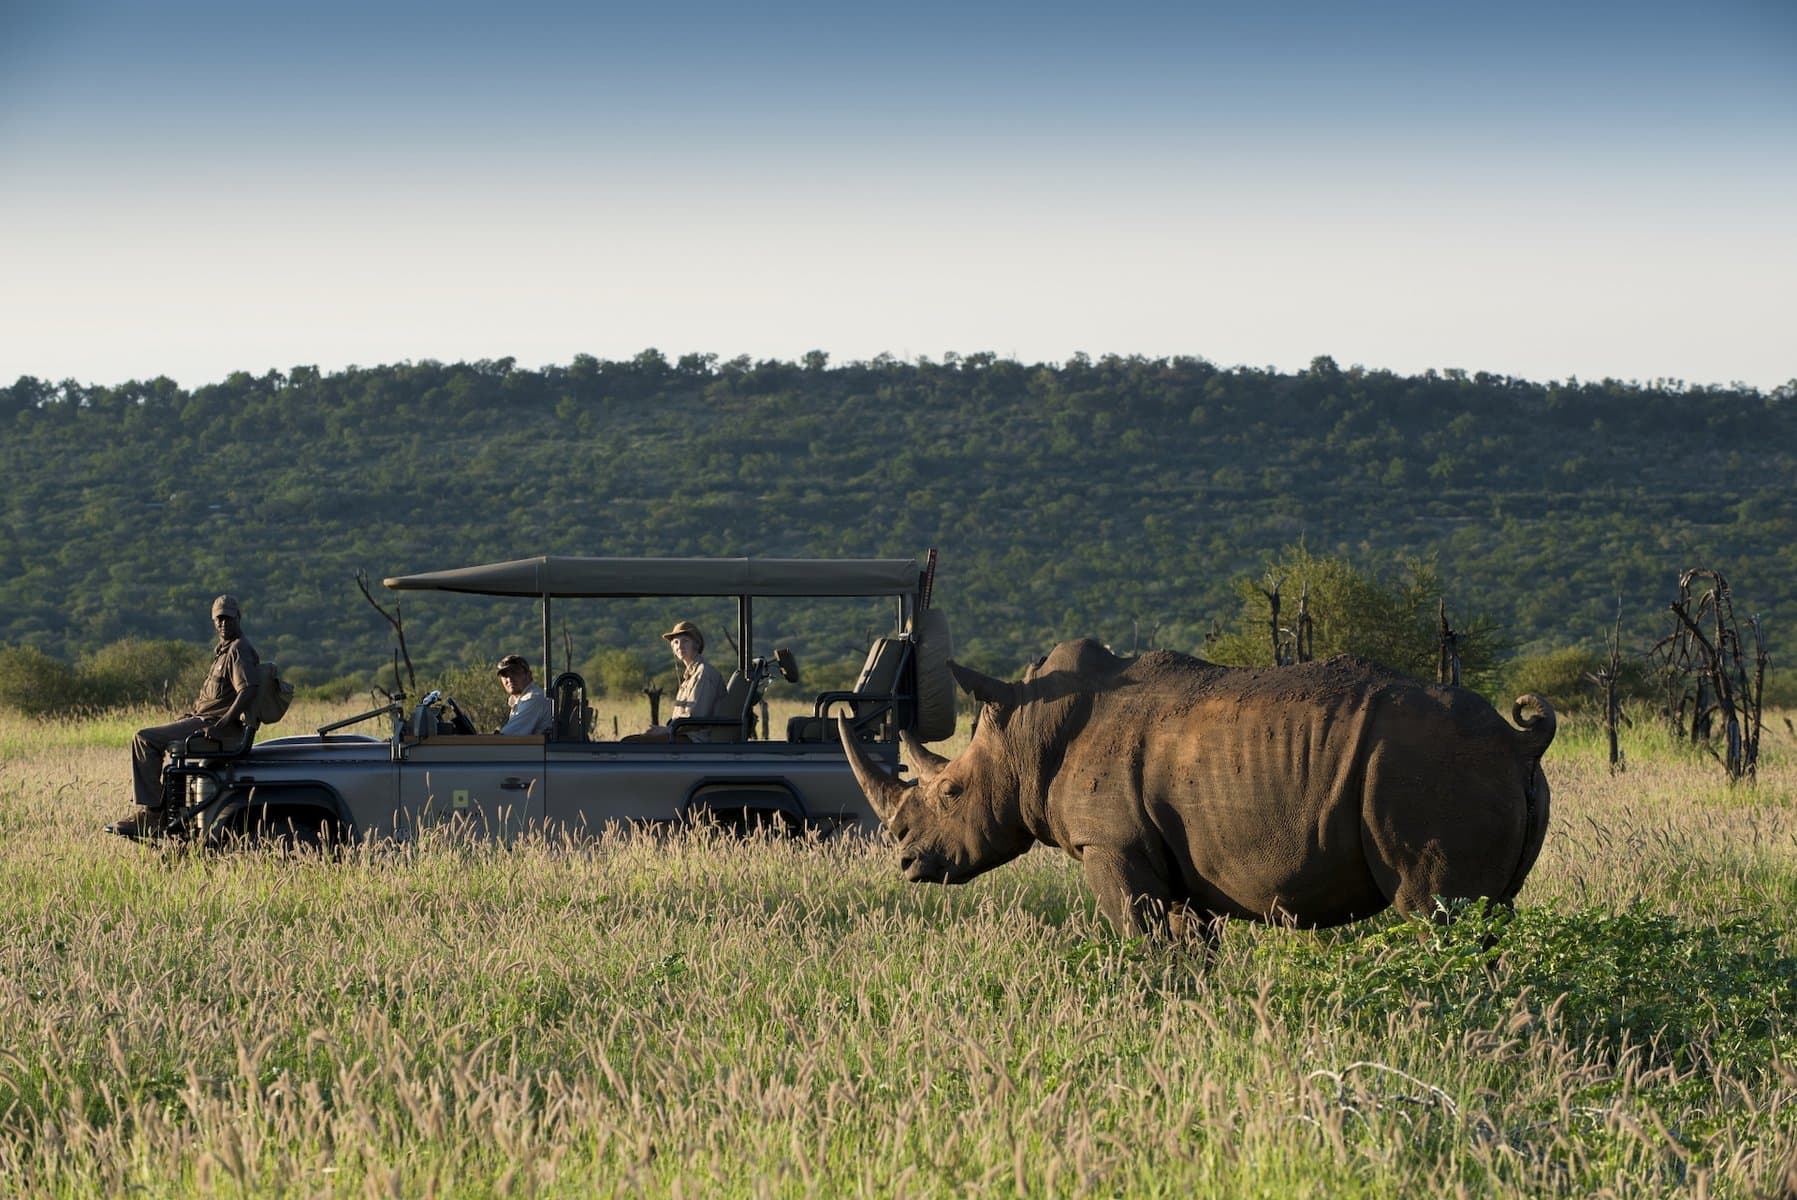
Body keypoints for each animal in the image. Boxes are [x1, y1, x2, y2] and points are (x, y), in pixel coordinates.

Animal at [839, 639, 1555, 939]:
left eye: (951, 792)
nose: (906, 861)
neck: (1027, 732)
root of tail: (1521, 741)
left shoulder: (1111, 844)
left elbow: (1145, 938)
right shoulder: (1172, 854)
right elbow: (1189, 945)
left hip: (1426, 773)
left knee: (1432, 911)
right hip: (1472, 771)